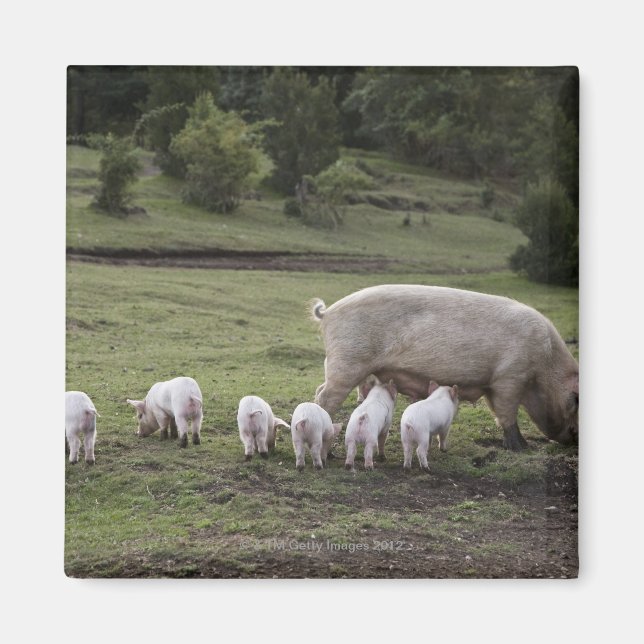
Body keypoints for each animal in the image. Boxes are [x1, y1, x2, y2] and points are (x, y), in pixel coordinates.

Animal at [311, 285, 579, 450]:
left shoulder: (492, 384)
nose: (573, 440)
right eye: (575, 403)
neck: (544, 367)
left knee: (319, 391)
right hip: (347, 362)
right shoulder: (509, 377)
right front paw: (522, 448)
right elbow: (507, 412)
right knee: (325, 398)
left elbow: (499, 412)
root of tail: (329, 312)